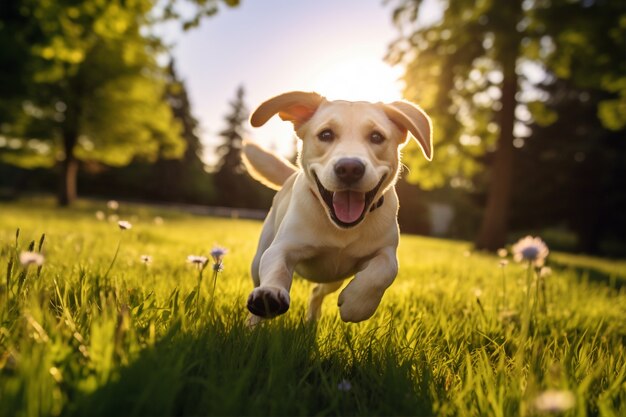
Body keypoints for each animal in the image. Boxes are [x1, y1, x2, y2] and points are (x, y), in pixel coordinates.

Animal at [239, 92, 428, 324]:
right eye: (326, 134)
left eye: (376, 137)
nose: (350, 168)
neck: (339, 228)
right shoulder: (282, 247)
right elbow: (277, 266)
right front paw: (270, 294)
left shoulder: (386, 250)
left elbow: (386, 269)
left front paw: (357, 305)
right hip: (259, 257)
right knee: (261, 277)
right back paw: (254, 322)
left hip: (333, 279)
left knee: (316, 292)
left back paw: (312, 321)